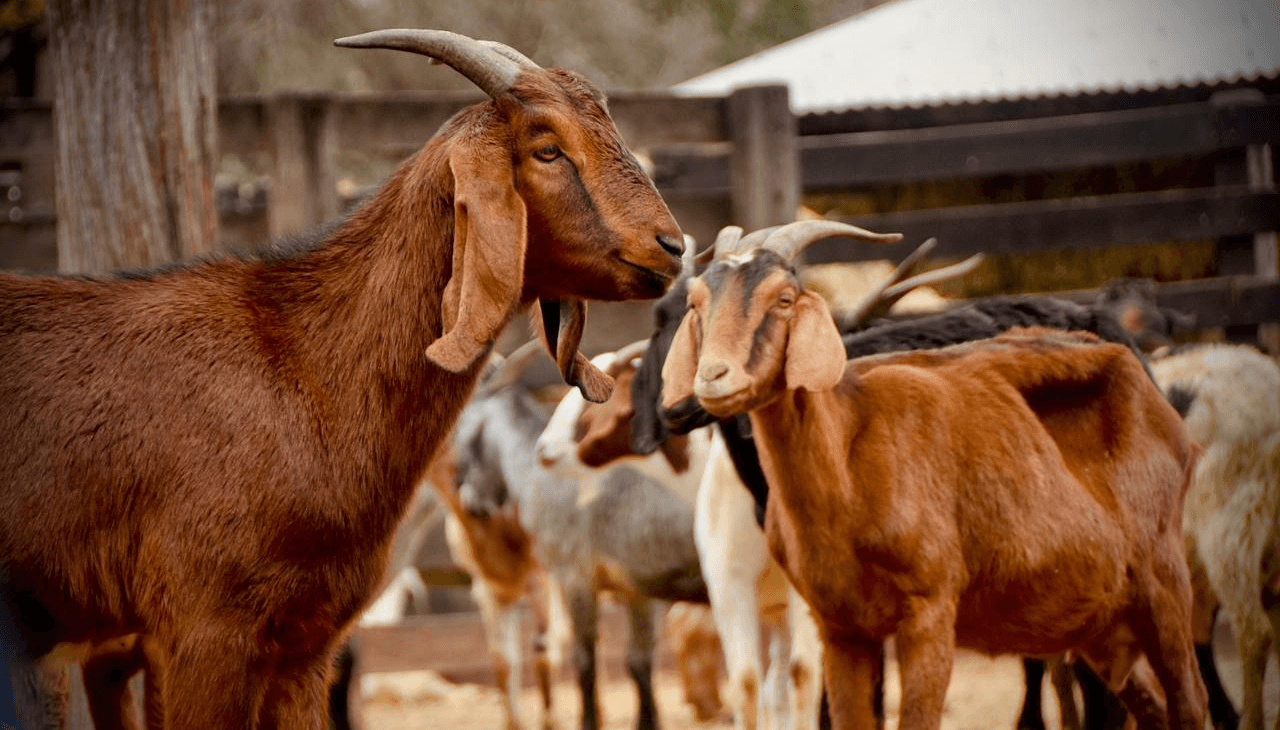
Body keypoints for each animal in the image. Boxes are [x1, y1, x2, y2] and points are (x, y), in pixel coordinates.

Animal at [659, 220, 1207, 730]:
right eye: (698, 302)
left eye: (784, 299)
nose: (713, 378)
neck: (849, 461)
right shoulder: (841, 629)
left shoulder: (930, 612)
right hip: (1100, 621)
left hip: (1163, 585)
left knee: (1189, 700)